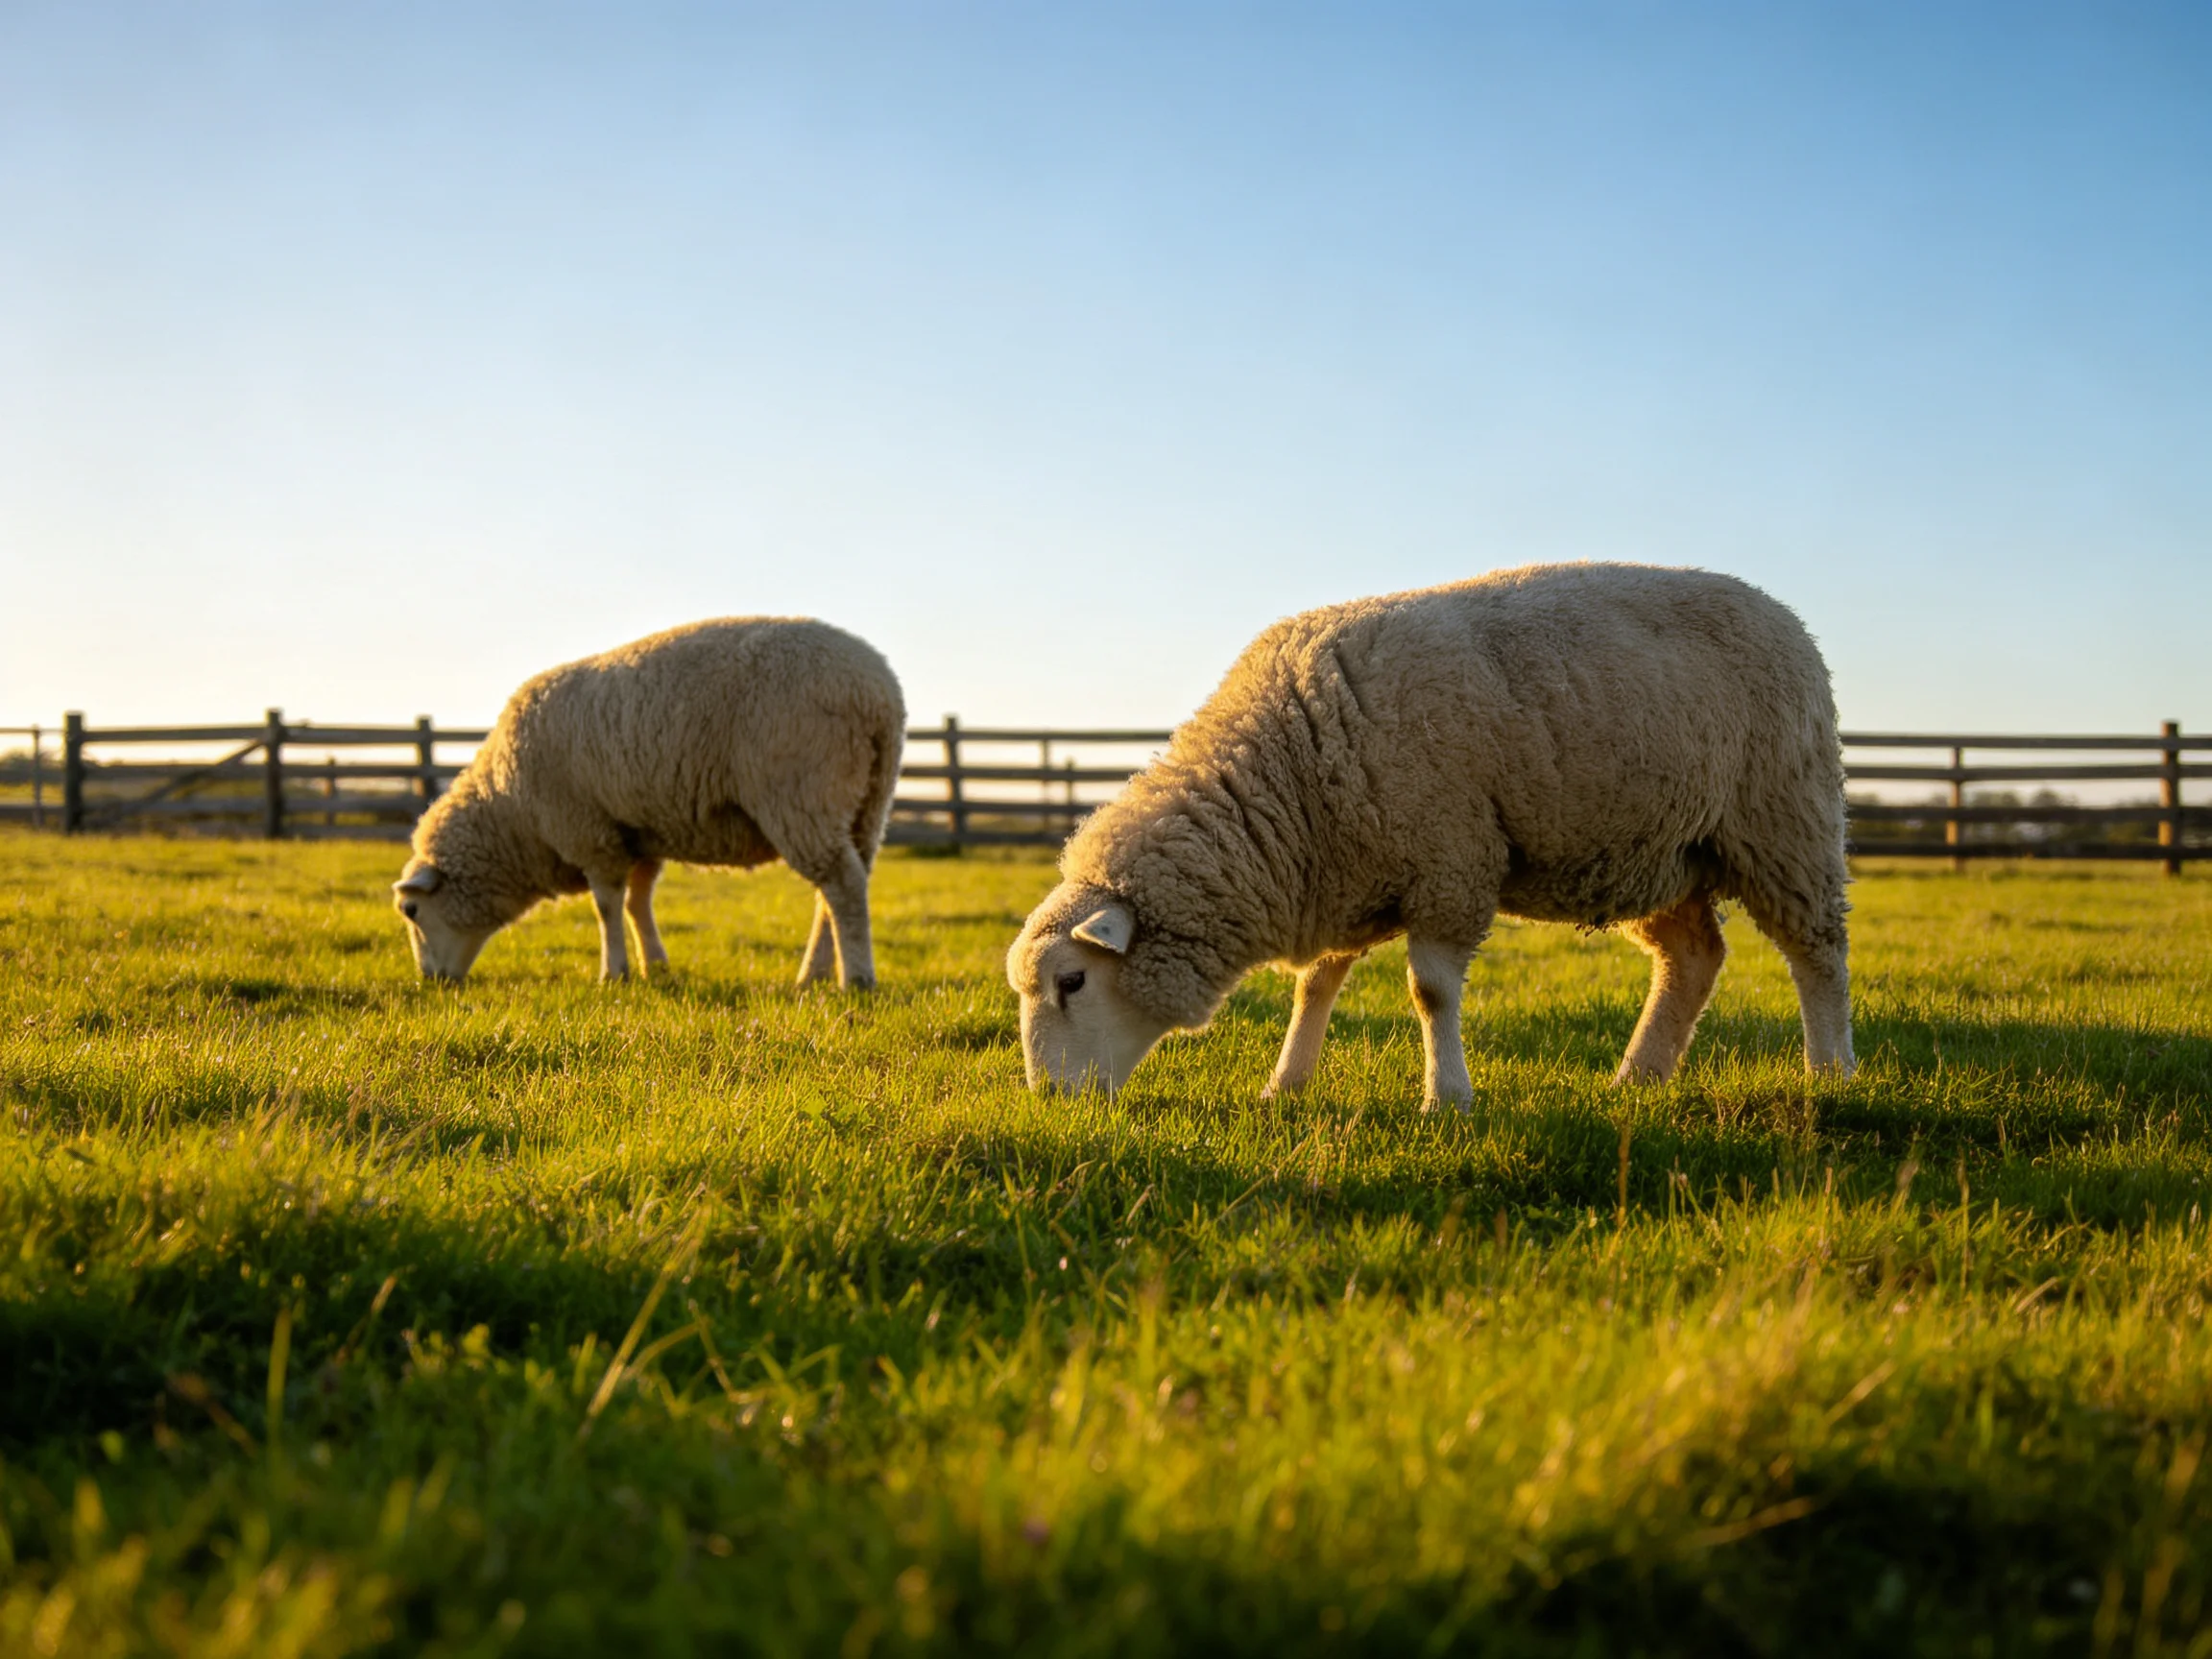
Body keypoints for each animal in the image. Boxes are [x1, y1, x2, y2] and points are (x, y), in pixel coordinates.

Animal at [393, 617, 904, 988]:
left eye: (411, 912)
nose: (430, 982)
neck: (510, 812)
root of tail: (877, 692)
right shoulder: (637, 833)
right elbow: (638, 903)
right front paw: (654, 965)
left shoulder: (588, 831)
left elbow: (606, 906)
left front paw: (612, 973)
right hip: (865, 804)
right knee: (837, 890)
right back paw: (813, 976)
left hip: (802, 792)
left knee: (842, 886)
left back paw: (856, 979)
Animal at [1007, 563, 1854, 1105]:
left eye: (1072, 982)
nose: (1048, 1100)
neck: (1288, 775)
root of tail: (1787, 617)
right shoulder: (1345, 873)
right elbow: (1317, 983)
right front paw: (1287, 1083)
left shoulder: (1449, 861)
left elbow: (1431, 992)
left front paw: (1446, 1098)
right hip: (1659, 850)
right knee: (1692, 959)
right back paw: (1637, 1077)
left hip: (1784, 817)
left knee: (1818, 951)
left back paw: (1830, 1071)